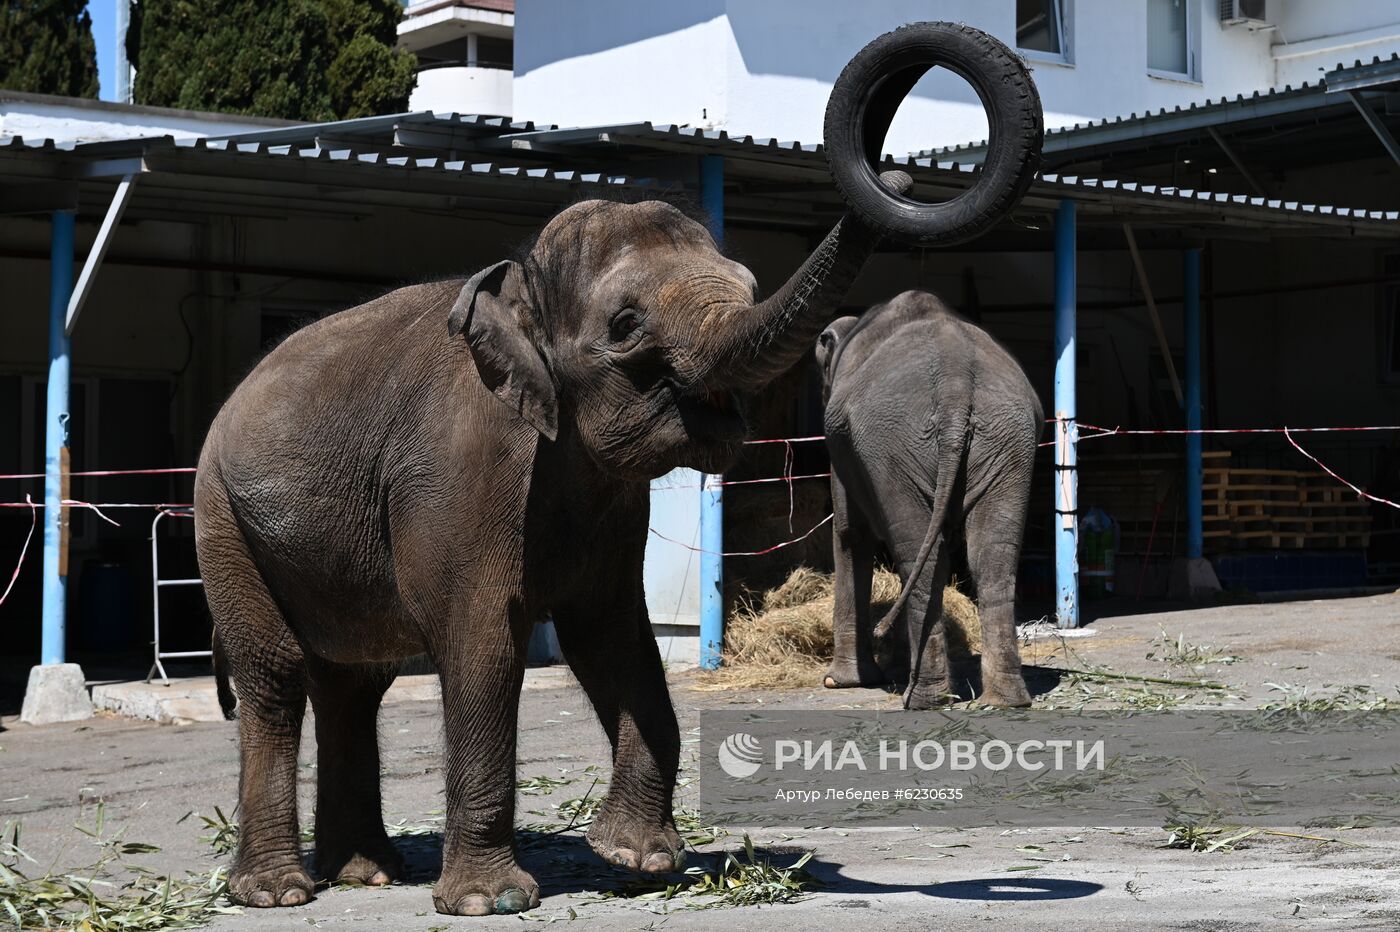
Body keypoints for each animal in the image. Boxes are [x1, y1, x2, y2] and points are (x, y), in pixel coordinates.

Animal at [817, 288, 1041, 705]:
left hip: (890, 444)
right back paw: (1005, 700)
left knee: (919, 553)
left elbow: (850, 534)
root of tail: (955, 381)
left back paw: (923, 698)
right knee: (992, 557)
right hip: (1009, 435)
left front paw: (840, 682)